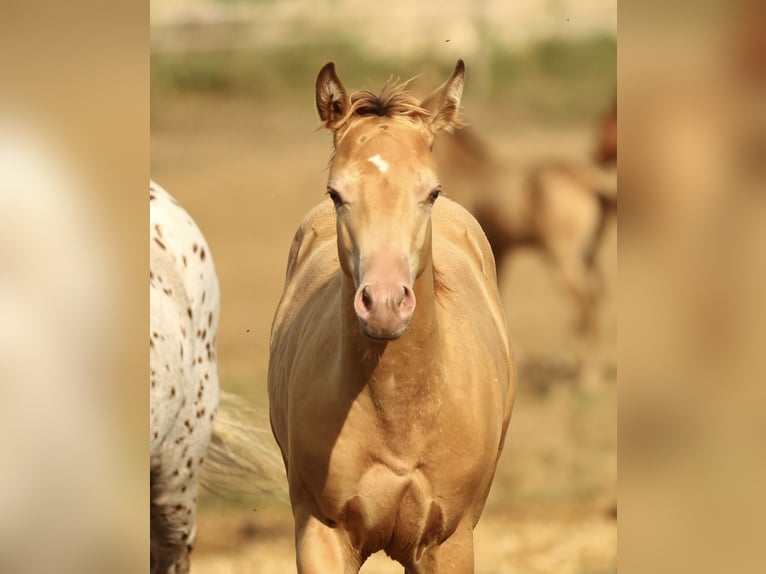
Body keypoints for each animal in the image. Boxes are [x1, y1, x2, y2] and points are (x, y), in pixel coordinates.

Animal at [268, 60, 516, 572]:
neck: (399, 408)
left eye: (432, 192)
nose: (383, 303)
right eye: (336, 193)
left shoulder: (447, 544)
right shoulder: (321, 534)